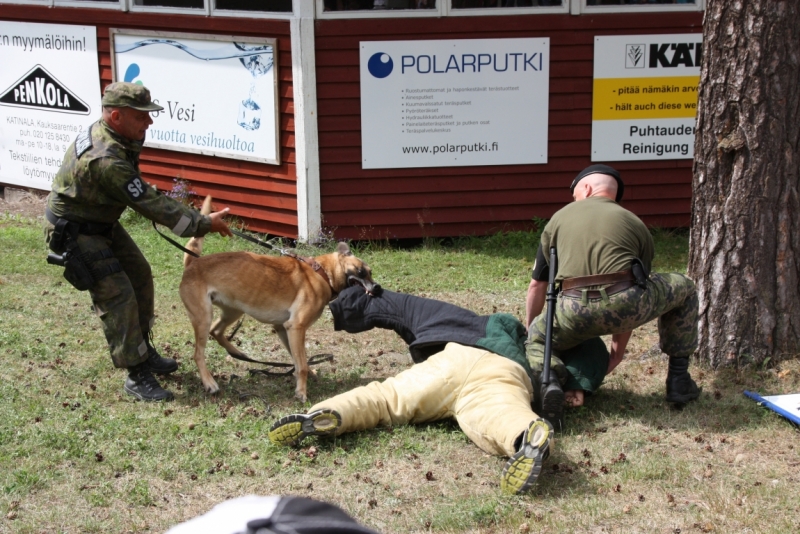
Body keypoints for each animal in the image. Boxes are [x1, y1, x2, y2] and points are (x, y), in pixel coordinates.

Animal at [181, 199, 382, 404]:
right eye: (361, 271)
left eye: (371, 272)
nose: (377, 288)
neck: (322, 273)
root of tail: (192, 263)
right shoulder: (296, 327)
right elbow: (301, 365)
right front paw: (301, 392)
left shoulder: (284, 328)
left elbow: (299, 360)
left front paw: (308, 375)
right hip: (204, 317)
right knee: (198, 354)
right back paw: (210, 383)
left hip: (233, 311)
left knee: (216, 331)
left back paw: (237, 353)